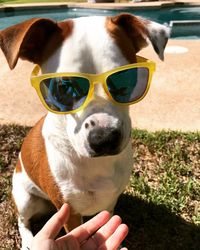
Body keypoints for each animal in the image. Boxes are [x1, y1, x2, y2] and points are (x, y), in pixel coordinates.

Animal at [0, 14, 170, 250]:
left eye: (124, 78)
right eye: (63, 87)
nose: (104, 138)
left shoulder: (110, 203)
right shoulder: (70, 214)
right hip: (25, 198)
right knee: (22, 220)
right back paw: (28, 241)